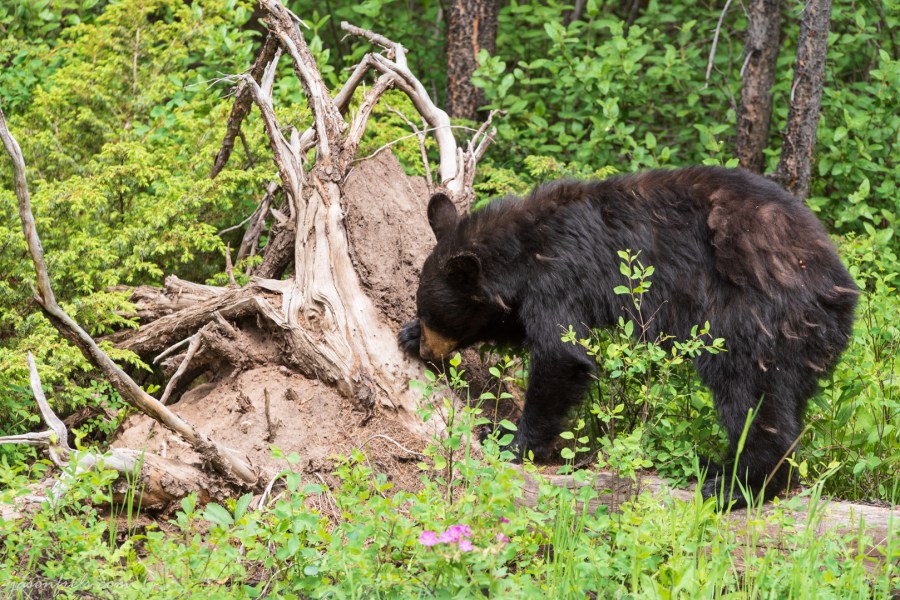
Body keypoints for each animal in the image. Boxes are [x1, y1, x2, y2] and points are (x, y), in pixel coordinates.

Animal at [399, 166, 859, 508]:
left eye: (435, 315)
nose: (426, 348)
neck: (523, 244)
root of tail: (839, 287)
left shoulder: (559, 275)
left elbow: (561, 355)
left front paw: (511, 442)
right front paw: (406, 334)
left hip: (755, 316)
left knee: (748, 393)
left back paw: (738, 485)